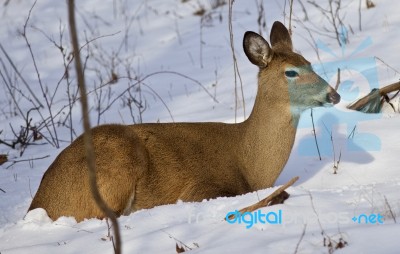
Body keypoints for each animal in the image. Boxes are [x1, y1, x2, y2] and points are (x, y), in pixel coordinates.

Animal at [28, 22, 340, 224]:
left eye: (310, 63)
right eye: (291, 72)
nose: (334, 94)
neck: (250, 163)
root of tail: (40, 202)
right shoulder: (200, 189)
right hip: (115, 166)